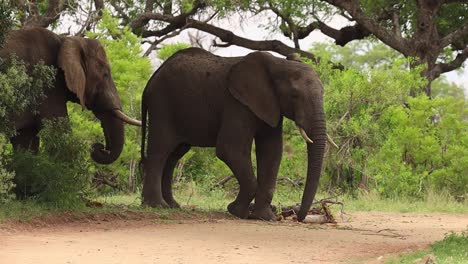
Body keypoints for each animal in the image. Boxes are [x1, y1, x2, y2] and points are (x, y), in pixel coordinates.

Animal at [0, 26, 141, 163]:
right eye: (105, 75)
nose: (100, 147)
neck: (65, 41)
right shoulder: (48, 86)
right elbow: (60, 133)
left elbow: (25, 144)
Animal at [141, 48, 330, 223]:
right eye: (294, 95)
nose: (299, 217)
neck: (278, 64)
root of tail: (151, 80)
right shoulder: (236, 103)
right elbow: (230, 149)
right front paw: (236, 211)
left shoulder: (271, 105)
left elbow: (272, 152)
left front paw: (264, 217)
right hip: (161, 103)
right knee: (160, 151)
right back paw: (157, 205)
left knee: (174, 155)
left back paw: (172, 205)